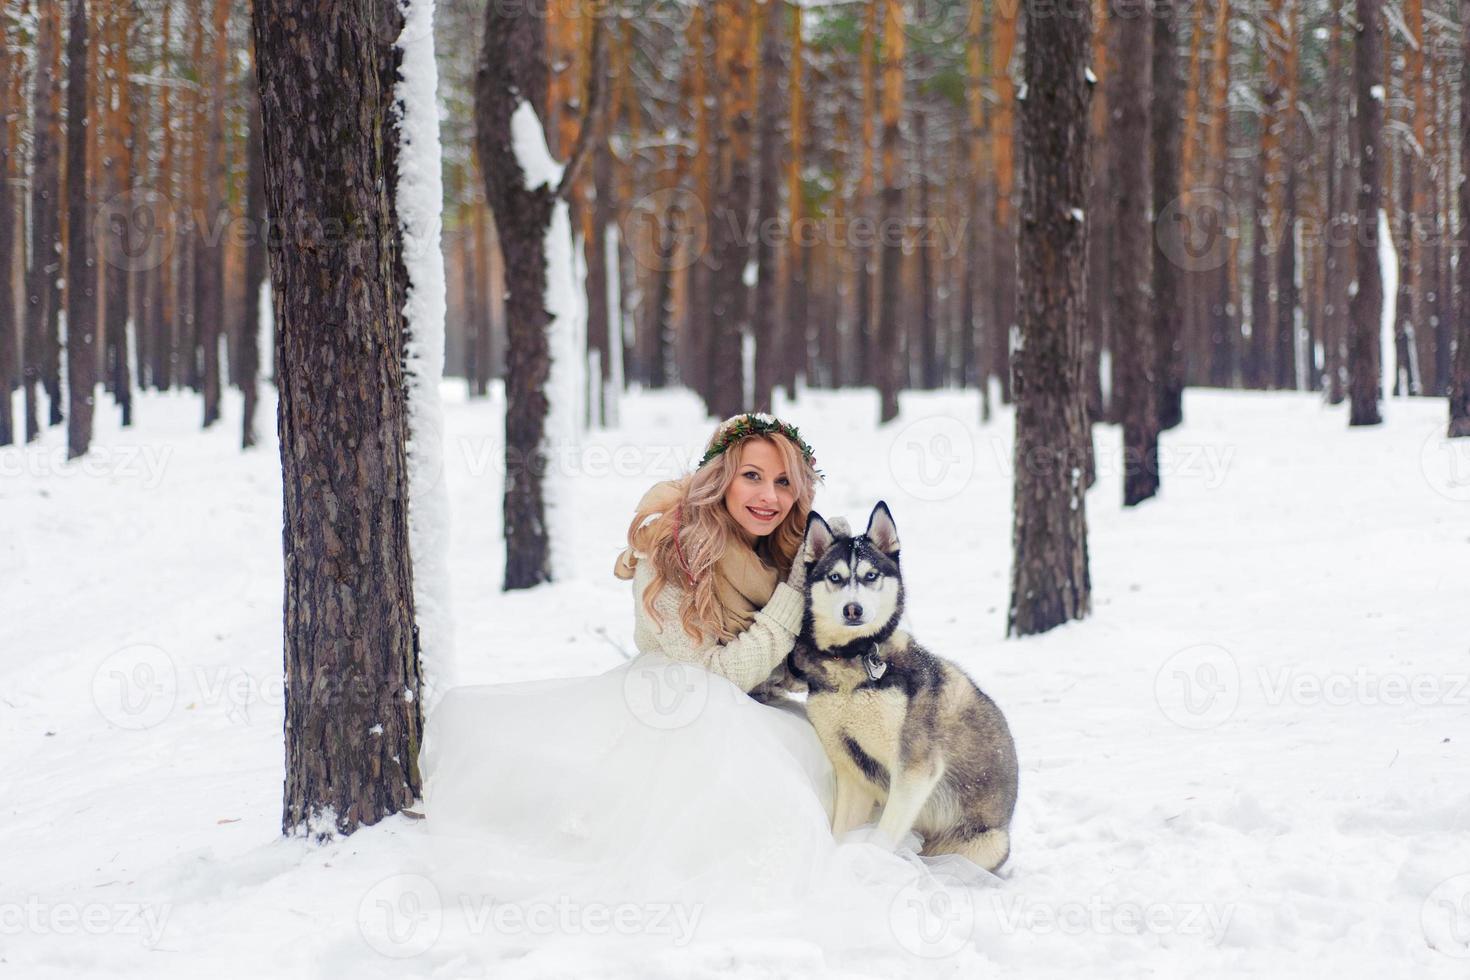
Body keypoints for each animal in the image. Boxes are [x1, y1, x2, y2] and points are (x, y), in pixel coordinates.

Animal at [787, 505, 1017, 875]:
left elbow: (881, 839)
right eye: (835, 577)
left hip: (989, 843)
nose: (853, 609)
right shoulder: (850, 769)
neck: (853, 663)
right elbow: (840, 832)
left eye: (870, 575)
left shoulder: (915, 768)